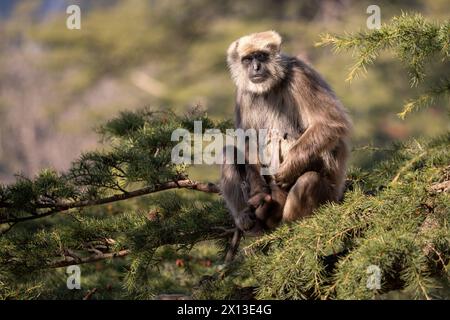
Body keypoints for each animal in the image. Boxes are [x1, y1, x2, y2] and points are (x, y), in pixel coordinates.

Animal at [221, 31, 352, 234]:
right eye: (248, 59)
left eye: (261, 56)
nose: (255, 67)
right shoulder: (244, 94)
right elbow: (249, 140)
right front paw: (258, 191)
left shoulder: (300, 76)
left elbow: (329, 123)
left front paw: (289, 169)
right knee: (229, 152)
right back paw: (247, 215)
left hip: (328, 197)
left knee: (309, 179)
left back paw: (291, 227)